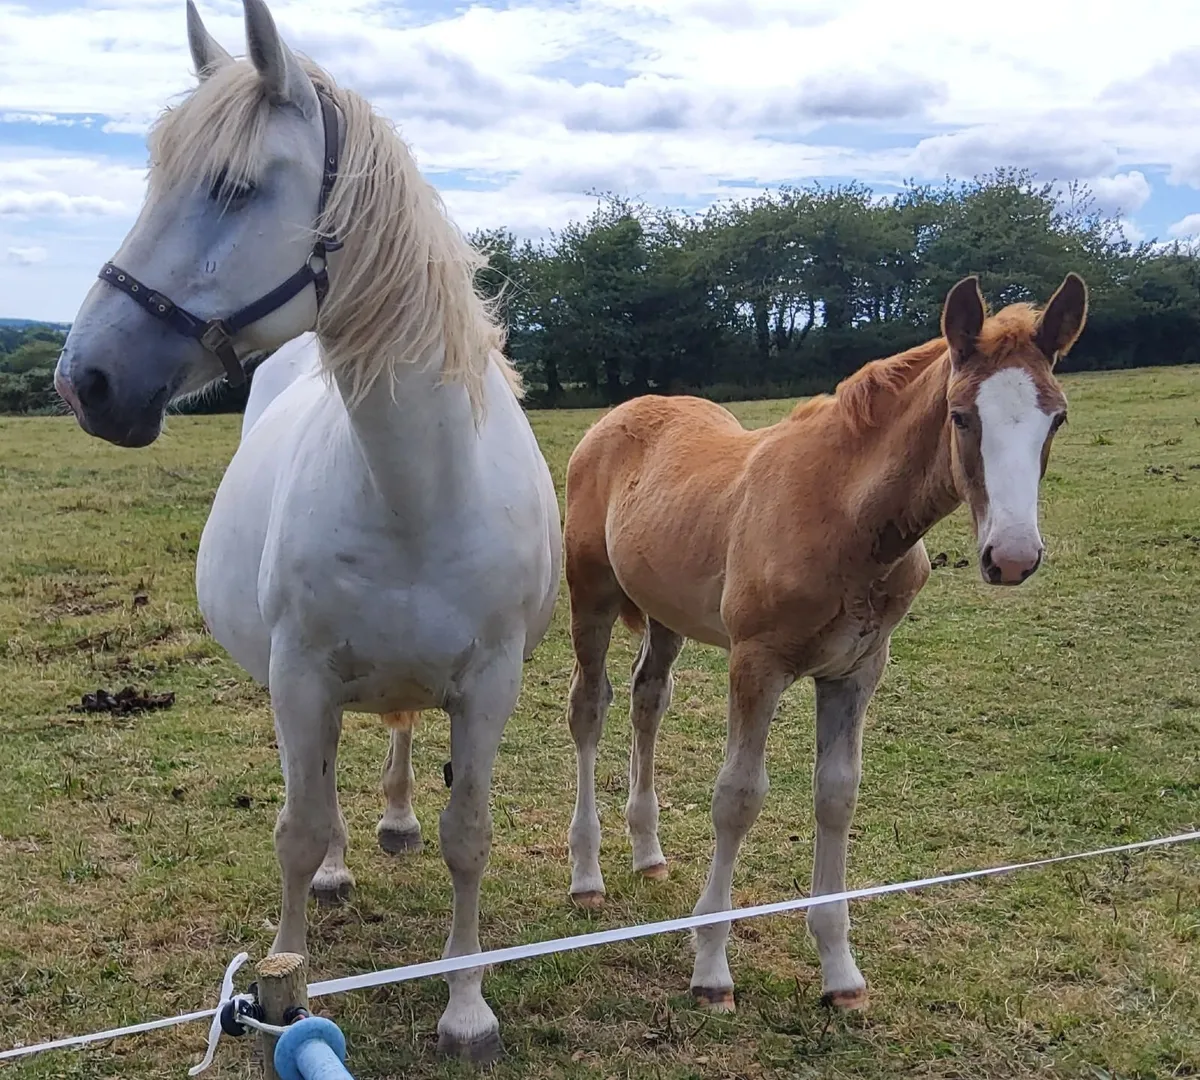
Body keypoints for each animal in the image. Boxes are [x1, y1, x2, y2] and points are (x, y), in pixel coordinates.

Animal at [53, 0, 562, 1061]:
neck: (416, 488)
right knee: (320, 782)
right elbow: (296, 823)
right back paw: (338, 865)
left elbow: (467, 836)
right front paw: (282, 991)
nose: (86, 381)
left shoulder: (489, 684)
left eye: (235, 186)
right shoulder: (299, 673)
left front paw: (466, 1005)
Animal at [563, 273, 1087, 1012]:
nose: (1011, 557)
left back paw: (648, 854)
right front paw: (712, 970)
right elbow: (738, 799)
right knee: (589, 707)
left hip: (665, 615)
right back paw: (587, 875)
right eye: (960, 416)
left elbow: (837, 794)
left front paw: (840, 972)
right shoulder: (756, 663)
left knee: (647, 701)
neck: (845, 515)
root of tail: (616, 417)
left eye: (1057, 417)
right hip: (593, 596)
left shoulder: (856, 671)